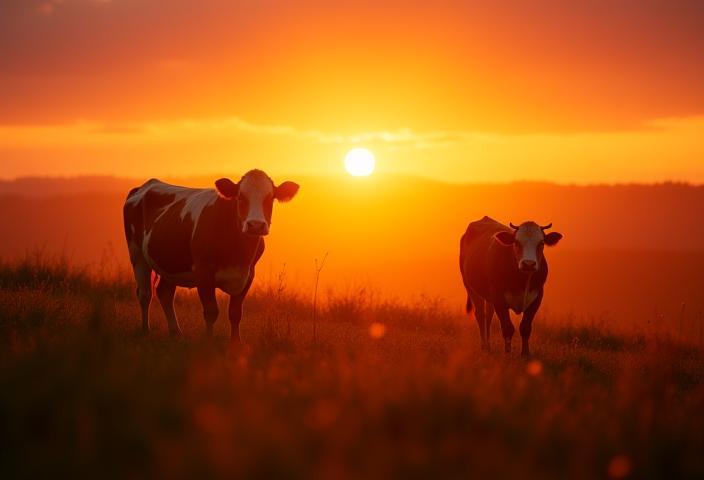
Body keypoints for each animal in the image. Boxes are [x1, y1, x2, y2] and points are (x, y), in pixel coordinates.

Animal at [123, 169, 299, 344]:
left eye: (270, 198)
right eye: (241, 197)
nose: (255, 225)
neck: (237, 253)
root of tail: (147, 184)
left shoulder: (248, 274)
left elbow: (235, 312)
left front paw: (236, 343)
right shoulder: (203, 273)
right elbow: (211, 311)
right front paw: (208, 341)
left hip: (170, 262)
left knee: (164, 293)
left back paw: (176, 333)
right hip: (137, 254)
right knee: (145, 294)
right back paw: (146, 330)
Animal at [459, 216, 563, 356]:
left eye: (541, 243)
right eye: (516, 242)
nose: (528, 264)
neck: (521, 281)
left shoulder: (537, 296)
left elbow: (525, 327)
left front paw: (525, 354)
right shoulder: (498, 298)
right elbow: (507, 327)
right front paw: (507, 353)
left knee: (488, 315)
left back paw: (489, 345)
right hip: (470, 286)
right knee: (480, 314)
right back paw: (484, 346)